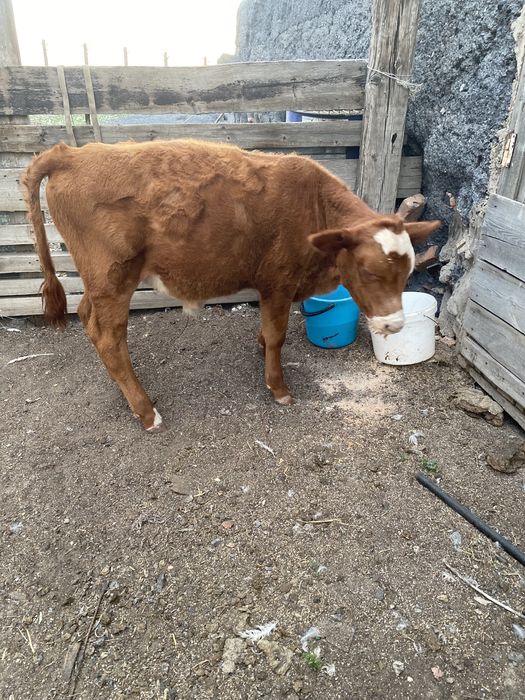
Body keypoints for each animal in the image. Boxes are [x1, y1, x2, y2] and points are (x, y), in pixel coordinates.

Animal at [23, 140, 440, 432]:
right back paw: (146, 411)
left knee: (86, 317)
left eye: (406, 272)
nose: (394, 324)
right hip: (113, 276)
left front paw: (260, 350)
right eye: (368, 271)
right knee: (109, 337)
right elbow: (277, 335)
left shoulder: (274, 287)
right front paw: (278, 387)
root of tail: (72, 153)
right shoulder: (279, 281)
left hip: (98, 280)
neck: (314, 208)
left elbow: (267, 331)